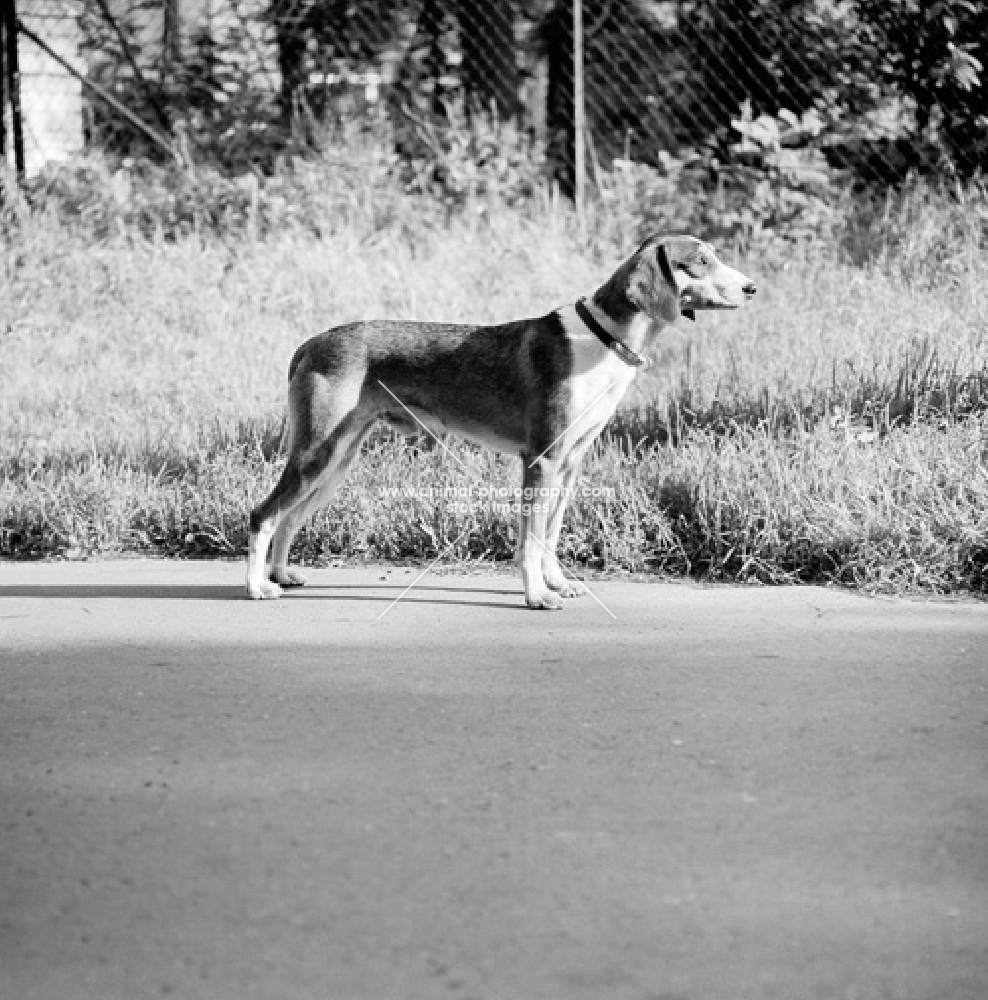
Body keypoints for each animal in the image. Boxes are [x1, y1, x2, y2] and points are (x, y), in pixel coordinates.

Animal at [247, 235, 756, 608]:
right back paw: (258, 587)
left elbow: (550, 533)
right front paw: (537, 595)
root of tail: (312, 343)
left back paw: (282, 574)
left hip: (337, 461)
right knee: (264, 514)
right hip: (316, 454)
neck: (603, 339)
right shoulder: (541, 460)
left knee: (288, 518)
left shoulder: (570, 463)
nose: (752, 287)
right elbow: (530, 541)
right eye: (702, 261)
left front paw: (557, 582)